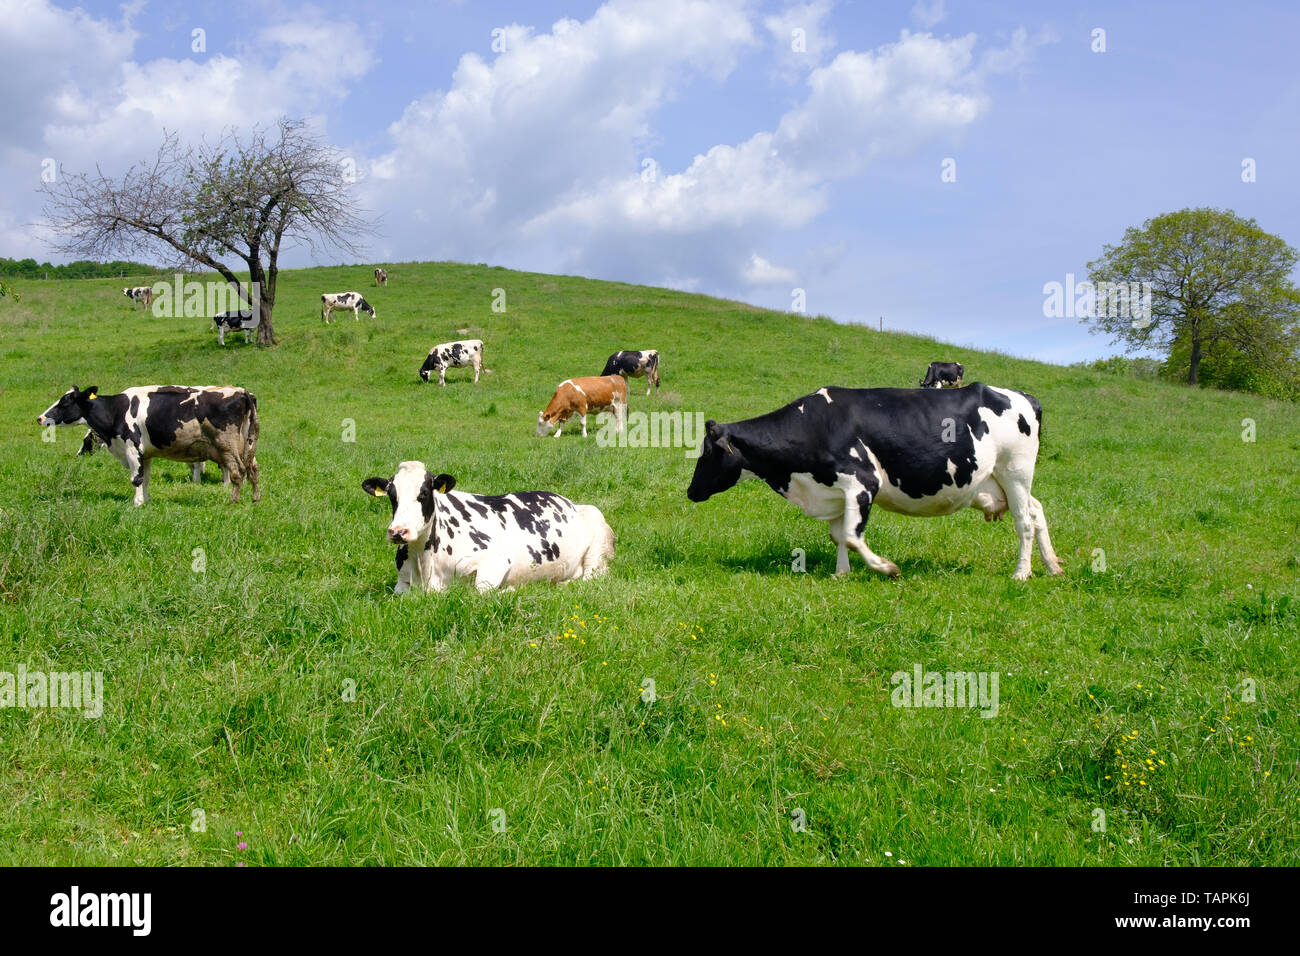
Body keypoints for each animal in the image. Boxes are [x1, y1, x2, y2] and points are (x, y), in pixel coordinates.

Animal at [37, 387, 258, 512]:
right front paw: (146, 500)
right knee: (253, 470)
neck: (116, 410)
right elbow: (146, 478)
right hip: (247, 444)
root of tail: (242, 392)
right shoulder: (146, 454)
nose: (40, 417)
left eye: (64, 402)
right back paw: (255, 498)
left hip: (227, 445)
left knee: (238, 472)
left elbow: (136, 478)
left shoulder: (131, 448)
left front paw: (137, 503)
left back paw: (234, 501)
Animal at [361, 463, 613, 595]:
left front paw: (511, 589)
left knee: (591, 577)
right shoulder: (402, 583)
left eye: (423, 493)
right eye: (392, 495)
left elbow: (480, 591)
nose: (398, 531)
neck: (426, 564)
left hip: (597, 544)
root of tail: (572, 502)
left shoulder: (496, 560)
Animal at [686, 382, 1060, 580]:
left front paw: (887, 567)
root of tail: (1025, 396)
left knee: (1024, 521)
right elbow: (838, 536)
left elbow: (853, 536)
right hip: (1001, 481)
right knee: (1037, 510)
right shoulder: (835, 492)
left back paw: (1021, 573)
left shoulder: (862, 483)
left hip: (1015, 470)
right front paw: (841, 574)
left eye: (708, 452)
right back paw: (1052, 566)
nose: (690, 491)